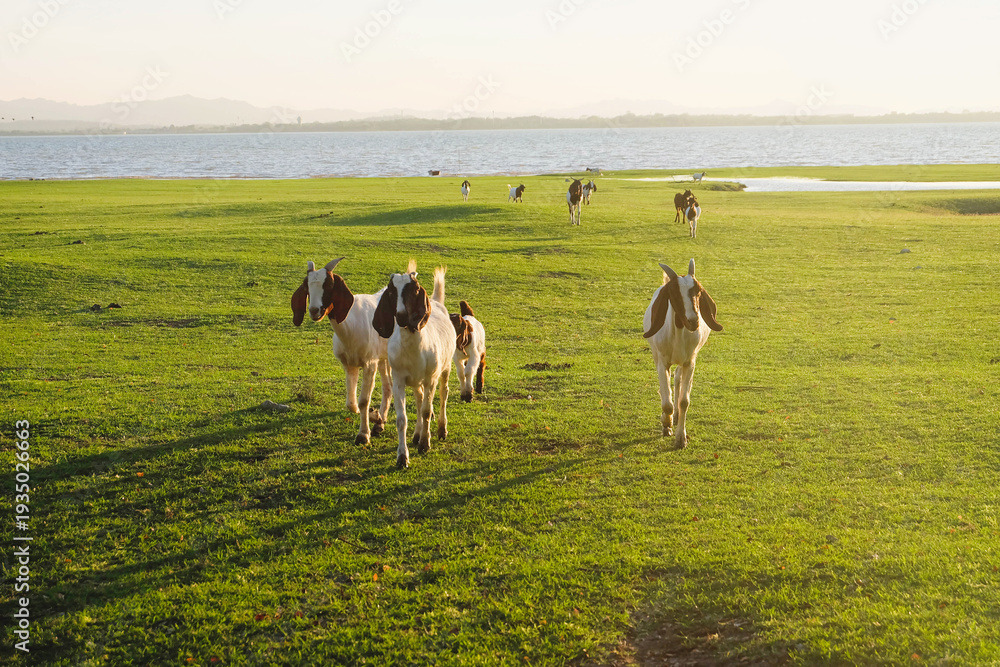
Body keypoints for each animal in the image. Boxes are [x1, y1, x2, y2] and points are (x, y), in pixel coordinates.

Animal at [291, 258, 392, 446]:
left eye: (329, 285)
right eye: (307, 286)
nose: (314, 311)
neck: (351, 325)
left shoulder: (369, 363)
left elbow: (363, 401)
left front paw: (363, 435)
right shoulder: (349, 364)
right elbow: (351, 403)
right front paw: (374, 417)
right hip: (384, 357)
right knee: (388, 386)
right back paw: (380, 422)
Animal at [373, 262, 456, 469]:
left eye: (415, 289)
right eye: (391, 291)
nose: (401, 316)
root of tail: (436, 301)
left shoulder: (430, 379)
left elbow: (427, 411)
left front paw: (425, 444)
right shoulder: (399, 381)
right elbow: (402, 418)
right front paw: (402, 456)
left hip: (444, 368)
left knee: (443, 394)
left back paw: (441, 430)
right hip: (416, 381)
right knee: (419, 399)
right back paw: (417, 434)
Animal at [642, 259, 723, 449]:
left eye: (698, 291)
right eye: (673, 293)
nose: (693, 321)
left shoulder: (690, 362)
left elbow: (684, 401)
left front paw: (681, 438)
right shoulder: (662, 362)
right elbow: (666, 403)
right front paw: (666, 424)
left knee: (678, 378)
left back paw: (678, 416)